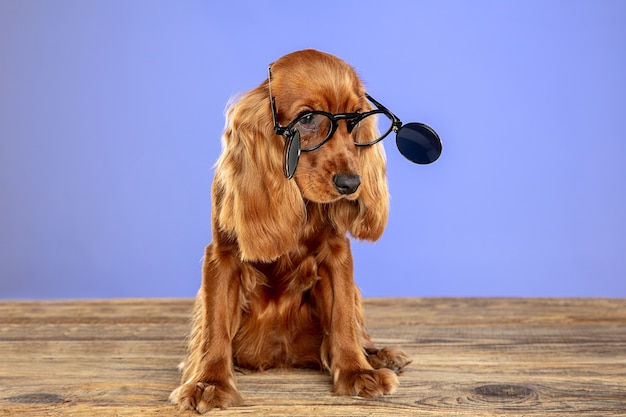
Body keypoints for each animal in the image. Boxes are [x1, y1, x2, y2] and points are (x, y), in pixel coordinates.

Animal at [169, 49, 410, 412]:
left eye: (355, 120)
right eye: (307, 119)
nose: (351, 183)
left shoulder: (336, 254)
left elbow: (342, 320)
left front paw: (356, 371)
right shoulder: (221, 256)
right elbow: (215, 326)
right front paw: (208, 382)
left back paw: (378, 355)